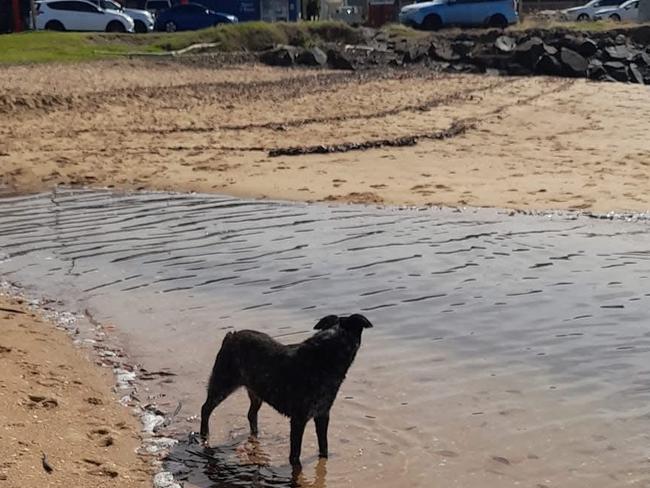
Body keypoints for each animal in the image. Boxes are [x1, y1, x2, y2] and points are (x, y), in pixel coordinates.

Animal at [197, 314, 372, 468]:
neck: (326, 356)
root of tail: (231, 336)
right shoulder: (299, 419)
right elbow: (295, 454)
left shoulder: (322, 415)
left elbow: (324, 446)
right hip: (222, 385)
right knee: (205, 408)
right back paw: (204, 435)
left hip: (256, 392)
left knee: (251, 414)